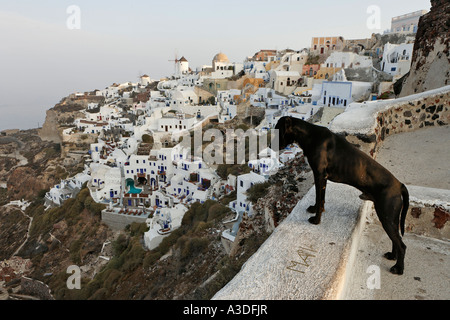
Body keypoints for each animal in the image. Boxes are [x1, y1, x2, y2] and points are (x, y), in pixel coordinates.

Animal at [276, 116, 410, 274]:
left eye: (278, 129)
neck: (309, 134)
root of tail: (399, 185)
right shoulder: (323, 179)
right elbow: (320, 199)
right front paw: (316, 209)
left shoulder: (319, 175)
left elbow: (319, 197)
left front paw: (316, 220)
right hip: (390, 218)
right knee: (396, 239)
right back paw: (392, 256)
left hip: (387, 217)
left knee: (402, 245)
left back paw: (398, 268)